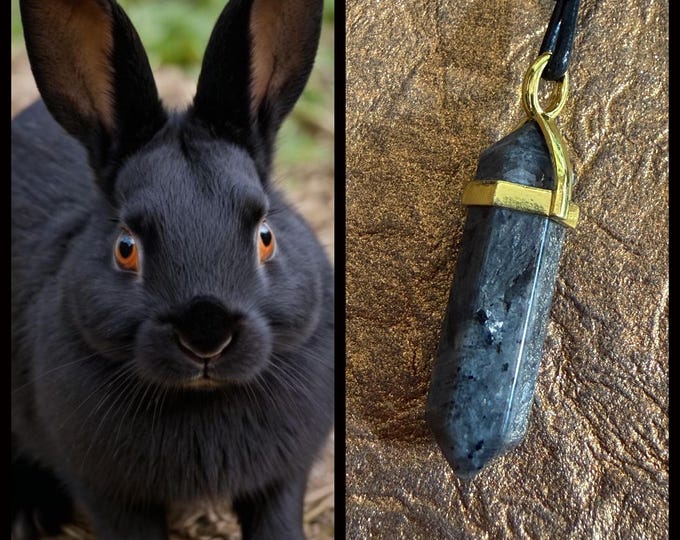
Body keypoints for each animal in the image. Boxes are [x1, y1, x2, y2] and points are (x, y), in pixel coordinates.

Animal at [11, 0, 334, 539]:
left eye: (265, 236)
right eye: (125, 248)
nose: (206, 333)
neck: (201, 398)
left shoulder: (284, 479)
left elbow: (276, 519)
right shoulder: (106, 491)